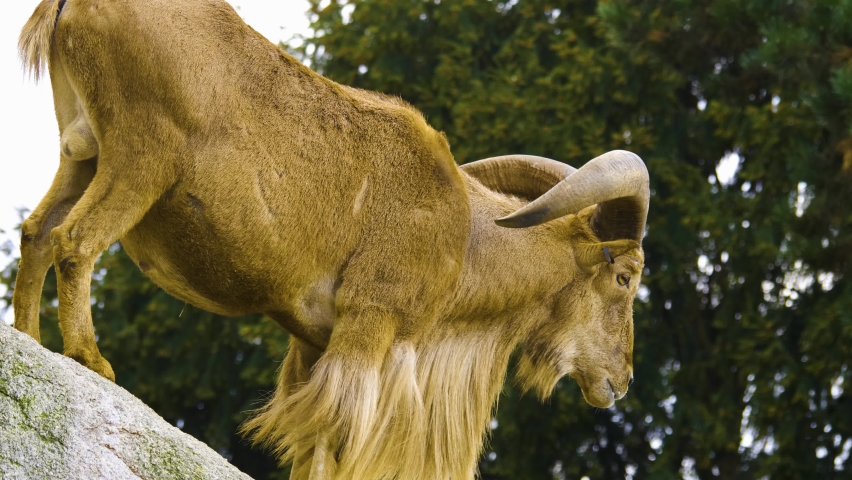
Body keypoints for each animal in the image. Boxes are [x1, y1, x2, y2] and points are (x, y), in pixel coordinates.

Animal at [16, 1, 649, 479]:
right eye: (625, 276)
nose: (620, 382)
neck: (466, 239)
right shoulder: (369, 324)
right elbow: (334, 440)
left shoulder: (313, 344)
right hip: (140, 156)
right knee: (75, 241)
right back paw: (90, 359)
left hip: (82, 153)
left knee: (37, 234)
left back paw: (29, 341)